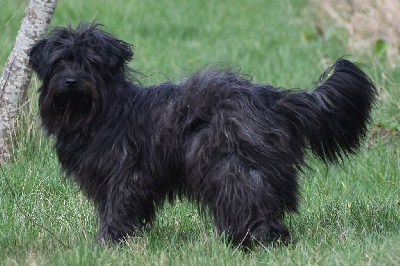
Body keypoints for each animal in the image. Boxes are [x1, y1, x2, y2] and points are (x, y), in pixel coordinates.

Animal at [29, 21, 376, 247]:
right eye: (60, 61)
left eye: (90, 63)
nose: (71, 81)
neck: (101, 111)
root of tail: (271, 98)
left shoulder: (127, 173)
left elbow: (118, 206)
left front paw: (108, 242)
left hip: (232, 164)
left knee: (253, 199)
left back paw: (259, 241)